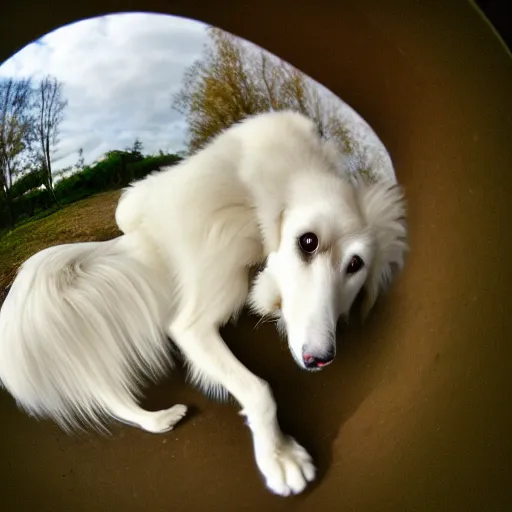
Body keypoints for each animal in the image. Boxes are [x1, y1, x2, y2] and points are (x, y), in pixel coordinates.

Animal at [0, 111, 408, 496]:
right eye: (307, 242)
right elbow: (259, 390)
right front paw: (280, 458)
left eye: (356, 265)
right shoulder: (191, 323)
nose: (320, 359)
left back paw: (155, 419)